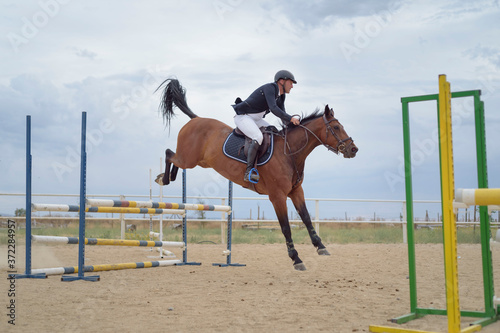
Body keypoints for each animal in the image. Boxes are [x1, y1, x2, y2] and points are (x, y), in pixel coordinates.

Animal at [154, 78, 358, 270]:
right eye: (336, 127)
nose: (353, 149)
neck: (289, 153)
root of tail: (195, 119)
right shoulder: (277, 196)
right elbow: (286, 227)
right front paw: (296, 259)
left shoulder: (296, 191)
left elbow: (307, 218)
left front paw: (321, 247)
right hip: (188, 159)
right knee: (169, 154)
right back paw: (163, 178)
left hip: (199, 162)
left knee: (174, 160)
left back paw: (168, 177)